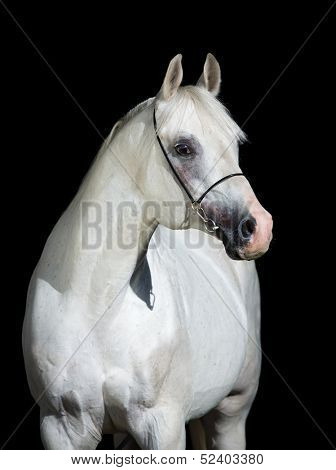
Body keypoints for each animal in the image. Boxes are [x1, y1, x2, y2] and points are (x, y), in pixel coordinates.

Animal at [22, 53, 272, 450]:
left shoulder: (163, 429)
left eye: (235, 144)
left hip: (231, 413)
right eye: (184, 148)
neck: (96, 304)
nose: (259, 227)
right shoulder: (60, 428)